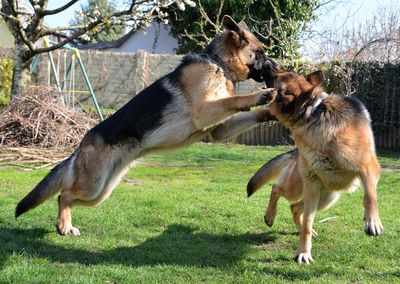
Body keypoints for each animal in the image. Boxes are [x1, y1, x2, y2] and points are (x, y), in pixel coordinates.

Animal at [15, 16, 278, 237]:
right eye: (260, 52)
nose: (275, 66)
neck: (219, 64)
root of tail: (79, 146)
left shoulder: (217, 129)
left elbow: (247, 113)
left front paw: (271, 109)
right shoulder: (204, 112)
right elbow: (234, 100)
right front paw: (260, 95)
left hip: (100, 192)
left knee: (67, 196)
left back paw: (65, 223)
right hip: (92, 186)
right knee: (63, 194)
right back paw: (63, 225)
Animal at [248, 68, 382, 264]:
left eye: (278, 76)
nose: (266, 63)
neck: (312, 114)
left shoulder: (369, 168)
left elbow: (370, 196)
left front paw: (372, 222)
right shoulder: (311, 183)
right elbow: (307, 224)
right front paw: (303, 252)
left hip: (326, 197)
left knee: (294, 206)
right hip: (305, 189)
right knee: (278, 190)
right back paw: (270, 216)